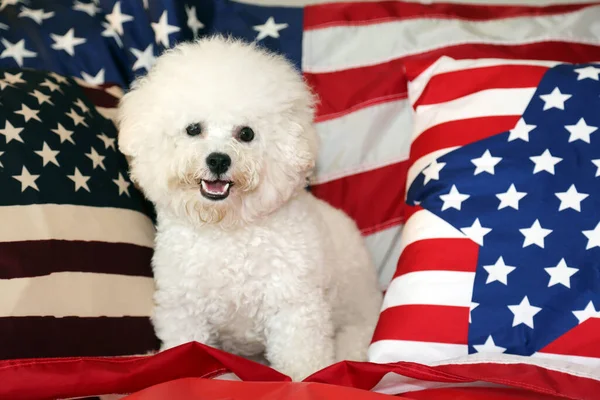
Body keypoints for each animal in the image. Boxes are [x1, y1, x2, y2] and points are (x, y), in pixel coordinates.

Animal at [115, 35, 382, 382]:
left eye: (246, 133)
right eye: (193, 129)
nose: (218, 160)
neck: (228, 230)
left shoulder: (295, 308)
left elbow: (300, 360)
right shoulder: (184, 308)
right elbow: (185, 347)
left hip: (357, 322)